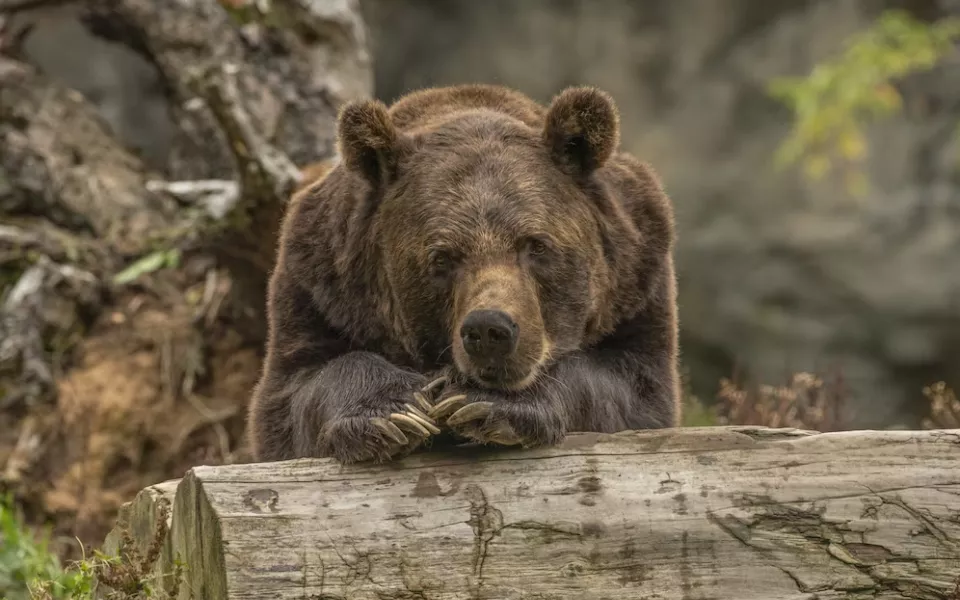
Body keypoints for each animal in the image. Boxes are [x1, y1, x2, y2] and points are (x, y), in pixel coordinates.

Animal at [248, 83, 684, 464]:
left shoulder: (636, 283)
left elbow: (630, 389)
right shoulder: (320, 288)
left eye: (535, 245)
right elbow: (296, 392)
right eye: (442, 257)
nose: (489, 330)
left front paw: (485, 403)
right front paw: (395, 413)